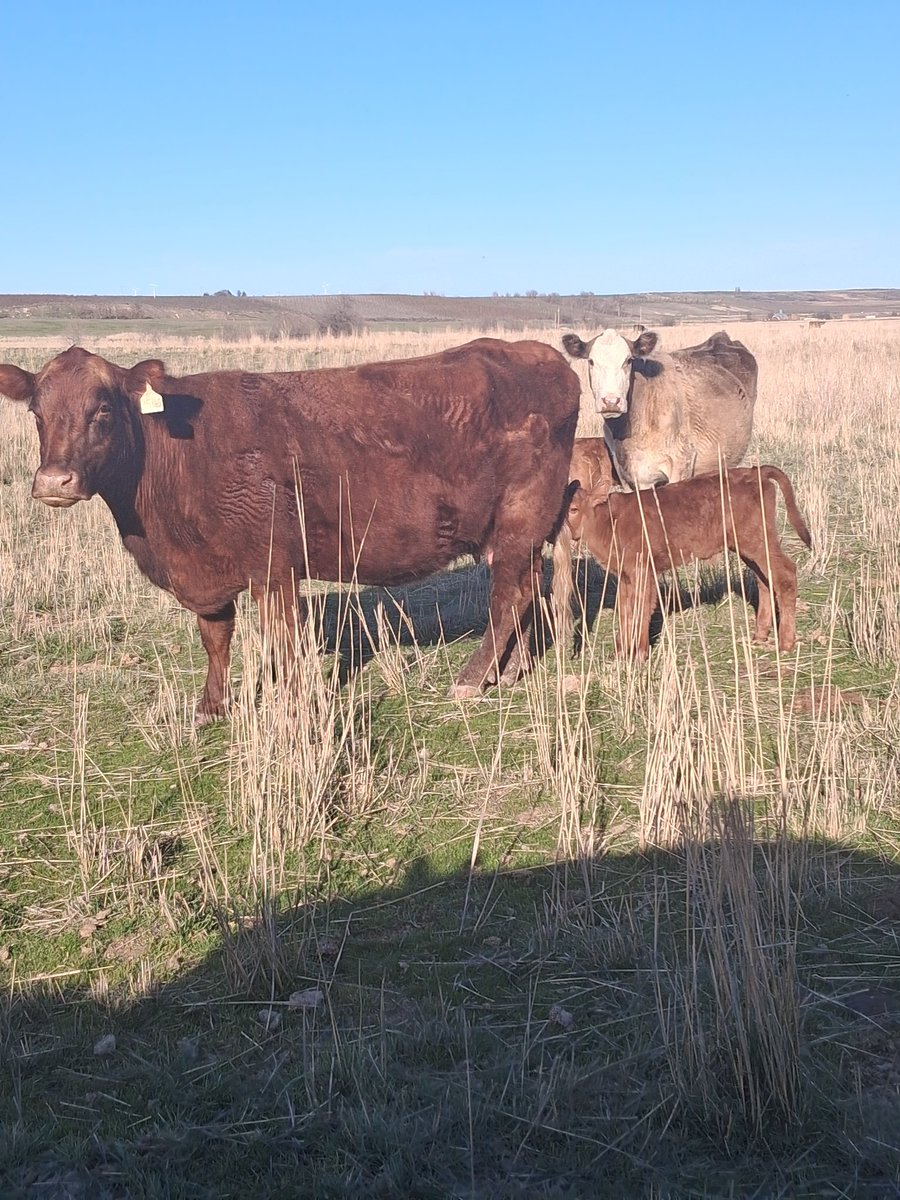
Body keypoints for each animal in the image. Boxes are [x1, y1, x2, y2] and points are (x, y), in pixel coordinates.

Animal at [0, 340, 580, 720]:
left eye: (103, 408)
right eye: (36, 412)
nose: (54, 480)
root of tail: (541, 353)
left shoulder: (274, 567)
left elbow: (282, 639)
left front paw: (296, 703)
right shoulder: (209, 576)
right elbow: (216, 638)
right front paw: (212, 707)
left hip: (521, 516)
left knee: (509, 594)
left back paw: (470, 679)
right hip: (515, 532)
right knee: (526, 588)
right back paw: (509, 671)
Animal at [557, 465, 811, 659]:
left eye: (574, 509)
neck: (608, 521)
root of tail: (755, 471)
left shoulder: (643, 570)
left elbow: (642, 607)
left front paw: (639, 654)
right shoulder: (625, 575)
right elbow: (625, 610)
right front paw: (620, 652)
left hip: (757, 540)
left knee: (785, 573)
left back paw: (785, 642)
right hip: (748, 546)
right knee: (764, 579)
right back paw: (760, 635)